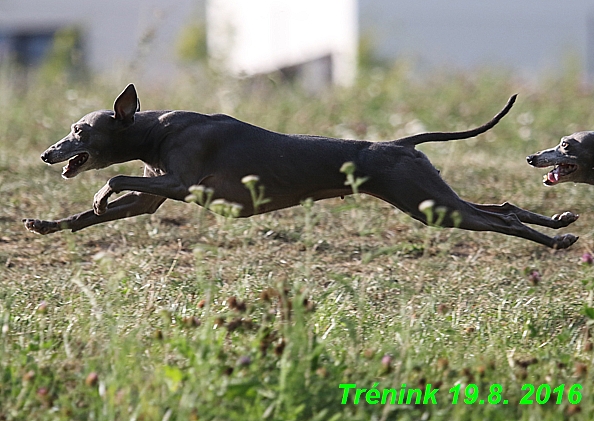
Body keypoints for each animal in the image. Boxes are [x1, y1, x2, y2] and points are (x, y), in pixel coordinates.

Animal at [22, 85, 572, 249]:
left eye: (79, 130)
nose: (47, 154)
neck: (157, 128)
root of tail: (398, 143)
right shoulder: (152, 197)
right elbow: (88, 216)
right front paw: (45, 224)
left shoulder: (182, 183)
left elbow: (113, 178)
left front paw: (98, 193)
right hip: (431, 196)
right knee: (503, 207)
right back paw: (561, 223)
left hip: (427, 202)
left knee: (500, 219)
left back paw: (555, 241)